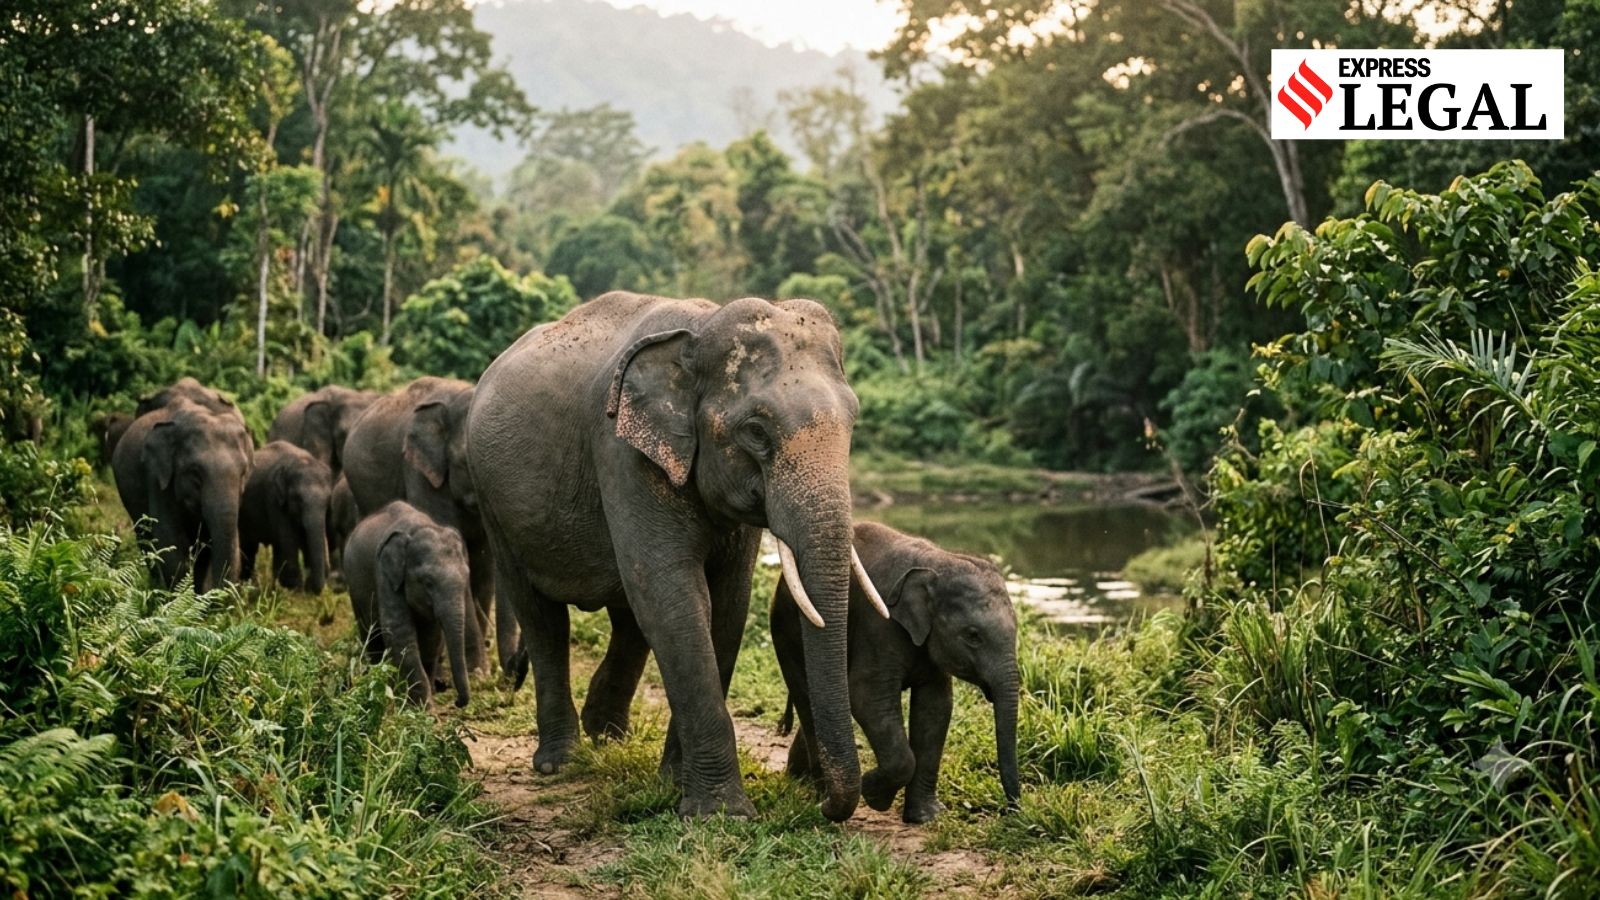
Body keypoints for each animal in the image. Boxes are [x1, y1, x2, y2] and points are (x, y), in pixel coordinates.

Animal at [239, 441, 332, 594]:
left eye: (327, 501)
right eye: (297, 498)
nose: (311, 586)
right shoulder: (273, 498)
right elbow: (288, 538)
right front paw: (294, 589)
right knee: (248, 546)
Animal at [344, 500, 473, 708]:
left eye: (466, 578)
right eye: (428, 583)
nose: (456, 702)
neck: (418, 527)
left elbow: (431, 638)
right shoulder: (385, 574)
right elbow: (400, 632)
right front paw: (424, 710)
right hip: (354, 591)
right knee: (371, 637)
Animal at [467, 290, 886, 821]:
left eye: (852, 420)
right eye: (756, 431)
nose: (824, 802)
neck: (701, 327)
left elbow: (725, 607)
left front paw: (674, 785)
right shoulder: (622, 453)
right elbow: (675, 597)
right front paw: (721, 814)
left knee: (627, 616)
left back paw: (608, 738)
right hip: (493, 502)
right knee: (543, 617)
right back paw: (560, 762)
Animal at [773, 521, 1021, 824]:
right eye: (973, 636)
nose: (1011, 811)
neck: (936, 562)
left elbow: (935, 708)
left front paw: (926, 817)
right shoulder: (880, 626)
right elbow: (867, 698)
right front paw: (873, 794)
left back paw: (798, 779)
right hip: (786, 630)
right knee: (807, 698)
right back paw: (819, 794)